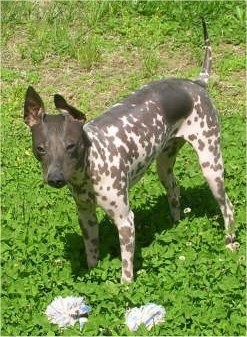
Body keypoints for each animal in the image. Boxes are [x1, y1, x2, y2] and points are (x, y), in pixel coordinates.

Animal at [23, 19, 235, 282]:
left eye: (71, 146)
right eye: (41, 149)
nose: (55, 178)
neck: (92, 164)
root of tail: (197, 83)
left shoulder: (125, 219)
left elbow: (126, 269)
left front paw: (124, 287)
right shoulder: (86, 216)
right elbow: (92, 253)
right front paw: (91, 277)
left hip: (210, 165)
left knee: (228, 207)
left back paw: (230, 244)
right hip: (164, 164)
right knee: (175, 190)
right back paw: (176, 224)